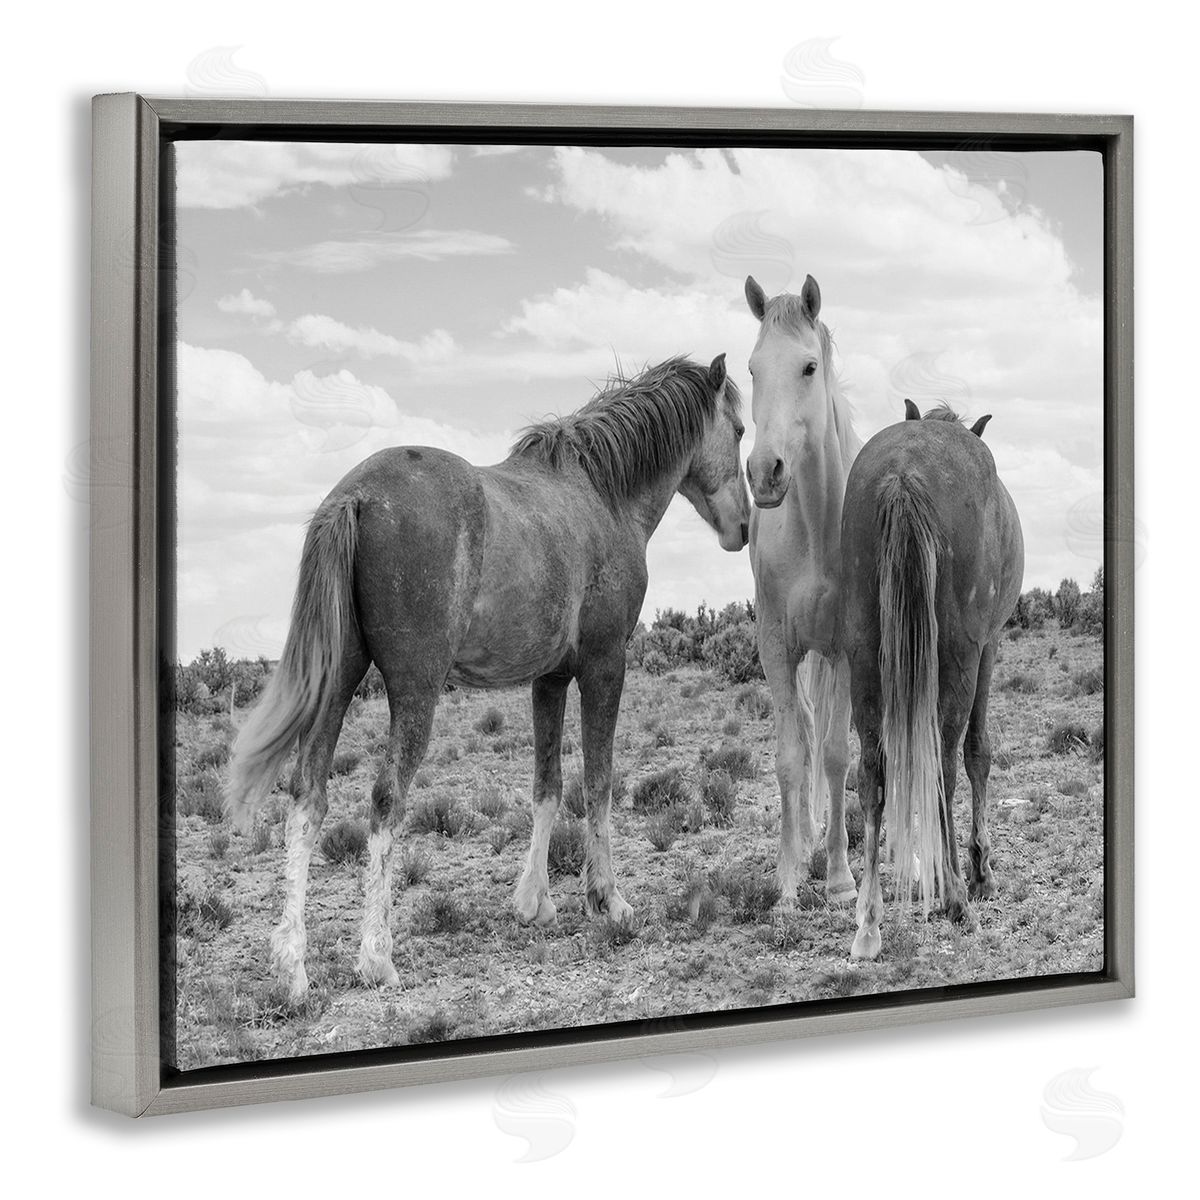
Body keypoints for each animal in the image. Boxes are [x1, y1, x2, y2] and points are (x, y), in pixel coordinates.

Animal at [224, 354, 751, 999]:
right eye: (740, 430)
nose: (743, 527)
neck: (603, 496)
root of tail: (354, 496)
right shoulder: (606, 665)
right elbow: (598, 784)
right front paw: (609, 901)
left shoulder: (549, 679)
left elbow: (547, 787)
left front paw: (534, 902)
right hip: (415, 692)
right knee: (385, 799)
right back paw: (376, 957)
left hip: (339, 682)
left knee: (308, 796)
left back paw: (293, 967)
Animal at [840, 402, 1023, 960]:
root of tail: (903, 472)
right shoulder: (988, 647)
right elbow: (978, 752)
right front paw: (982, 872)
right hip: (961, 655)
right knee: (943, 761)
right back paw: (957, 898)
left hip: (863, 652)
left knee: (873, 772)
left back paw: (869, 923)